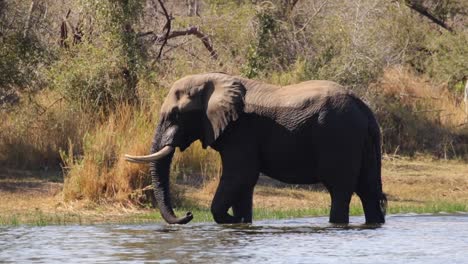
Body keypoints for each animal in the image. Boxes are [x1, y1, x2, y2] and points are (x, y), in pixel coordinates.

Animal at [124, 72, 388, 225]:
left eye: (176, 115)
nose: (188, 215)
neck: (213, 81)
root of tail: (364, 108)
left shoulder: (242, 132)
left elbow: (240, 175)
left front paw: (232, 219)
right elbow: (244, 182)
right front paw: (242, 222)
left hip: (339, 136)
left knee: (340, 189)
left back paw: (336, 225)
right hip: (362, 141)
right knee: (367, 189)